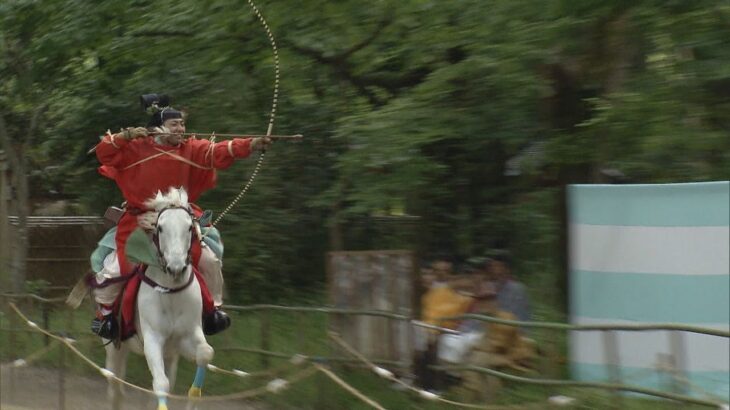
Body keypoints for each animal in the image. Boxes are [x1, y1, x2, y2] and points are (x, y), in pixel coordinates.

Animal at [105, 187, 213, 410]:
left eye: (189, 227)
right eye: (160, 228)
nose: (176, 268)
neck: (171, 293)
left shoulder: (187, 336)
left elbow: (205, 353)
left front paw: (194, 394)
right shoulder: (153, 339)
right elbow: (161, 384)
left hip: (168, 355)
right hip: (114, 346)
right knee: (114, 386)